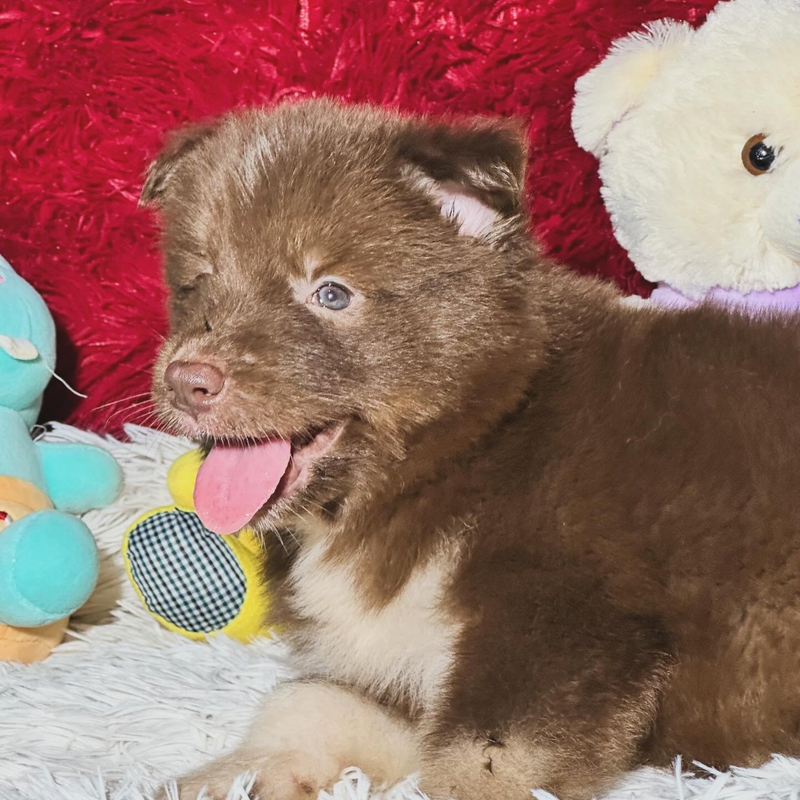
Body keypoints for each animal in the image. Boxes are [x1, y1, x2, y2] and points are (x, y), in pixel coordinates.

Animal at [147, 100, 800, 800]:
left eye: (331, 293)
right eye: (197, 284)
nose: (186, 381)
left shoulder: (561, 630)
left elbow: (475, 765)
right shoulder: (403, 663)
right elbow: (306, 705)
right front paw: (231, 774)